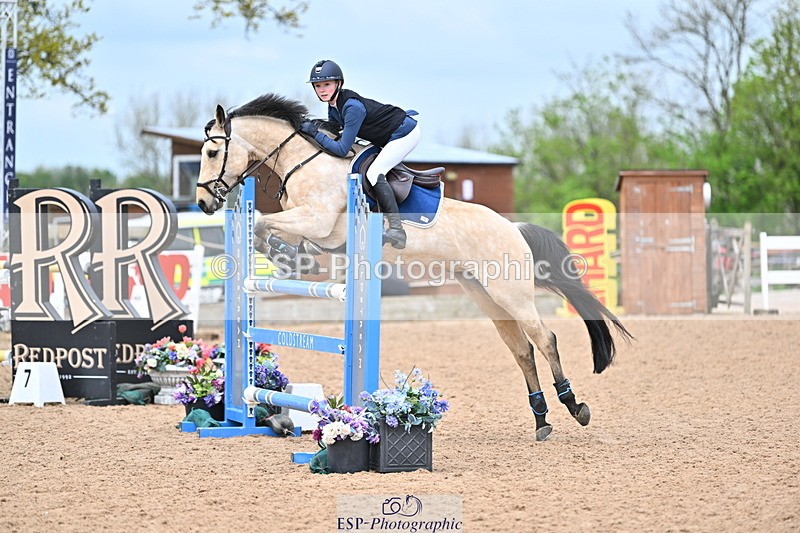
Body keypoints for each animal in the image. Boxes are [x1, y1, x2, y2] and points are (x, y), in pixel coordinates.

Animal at [196, 93, 633, 441]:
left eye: (213, 153)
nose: (204, 202)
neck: (303, 162)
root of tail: (513, 228)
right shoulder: (317, 230)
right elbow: (269, 229)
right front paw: (285, 254)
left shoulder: (318, 221)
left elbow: (265, 224)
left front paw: (282, 253)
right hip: (487, 297)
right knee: (522, 351)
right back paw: (541, 420)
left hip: (512, 294)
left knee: (545, 340)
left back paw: (575, 406)